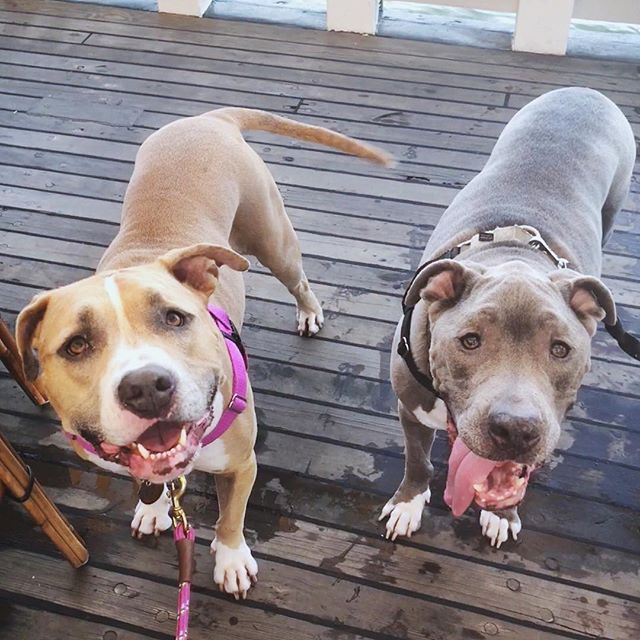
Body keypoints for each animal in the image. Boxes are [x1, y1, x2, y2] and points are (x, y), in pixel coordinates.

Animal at [16, 107, 390, 596]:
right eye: (76, 346)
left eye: (175, 318)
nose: (145, 387)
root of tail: (209, 116)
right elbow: (154, 481)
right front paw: (153, 508)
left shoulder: (242, 464)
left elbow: (232, 515)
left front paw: (231, 560)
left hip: (273, 241)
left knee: (299, 279)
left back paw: (309, 312)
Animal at [380, 87, 636, 548]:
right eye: (469, 341)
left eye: (561, 349)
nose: (516, 429)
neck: (511, 256)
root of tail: (583, 91)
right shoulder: (410, 408)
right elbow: (418, 462)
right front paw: (408, 503)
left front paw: (502, 514)